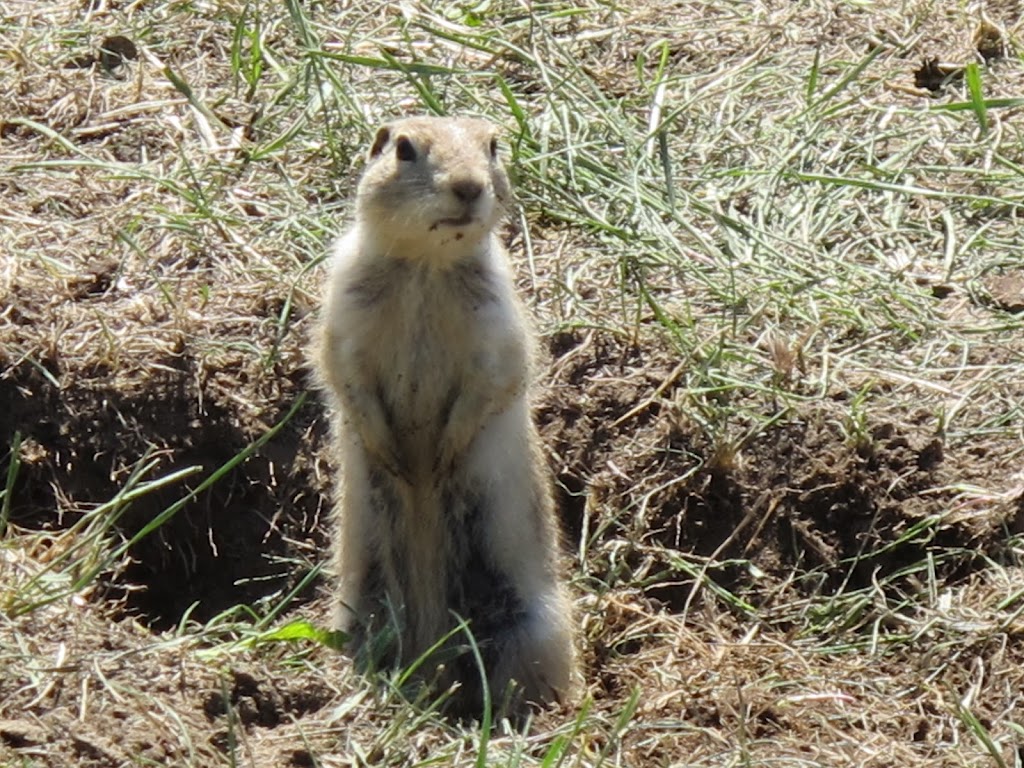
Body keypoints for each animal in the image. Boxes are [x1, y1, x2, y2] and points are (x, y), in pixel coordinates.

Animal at [315, 117, 577, 720]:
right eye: (404, 148)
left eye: (494, 146)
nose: (468, 186)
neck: (426, 268)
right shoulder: (343, 309)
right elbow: (343, 373)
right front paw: (393, 455)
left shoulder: (497, 323)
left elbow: (495, 380)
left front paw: (441, 457)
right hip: (360, 602)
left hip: (529, 622)